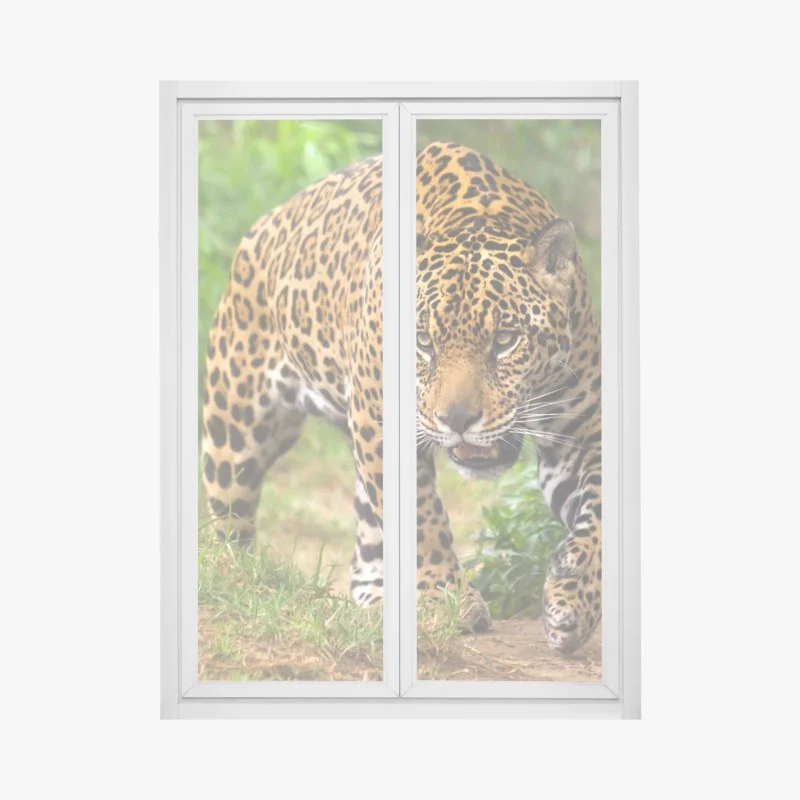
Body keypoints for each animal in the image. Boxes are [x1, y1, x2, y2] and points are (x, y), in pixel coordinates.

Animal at [201, 141, 602, 654]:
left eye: (506, 340)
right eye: (424, 342)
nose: (457, 419)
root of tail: (265, 223)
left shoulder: (581, 435)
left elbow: (601, 517)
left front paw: (573, 600)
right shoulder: (381, 425)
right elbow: (421, 520)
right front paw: (448, 599)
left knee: (369, 540)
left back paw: (376, 600)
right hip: (235, 432)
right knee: (230, 526)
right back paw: (240, 584)